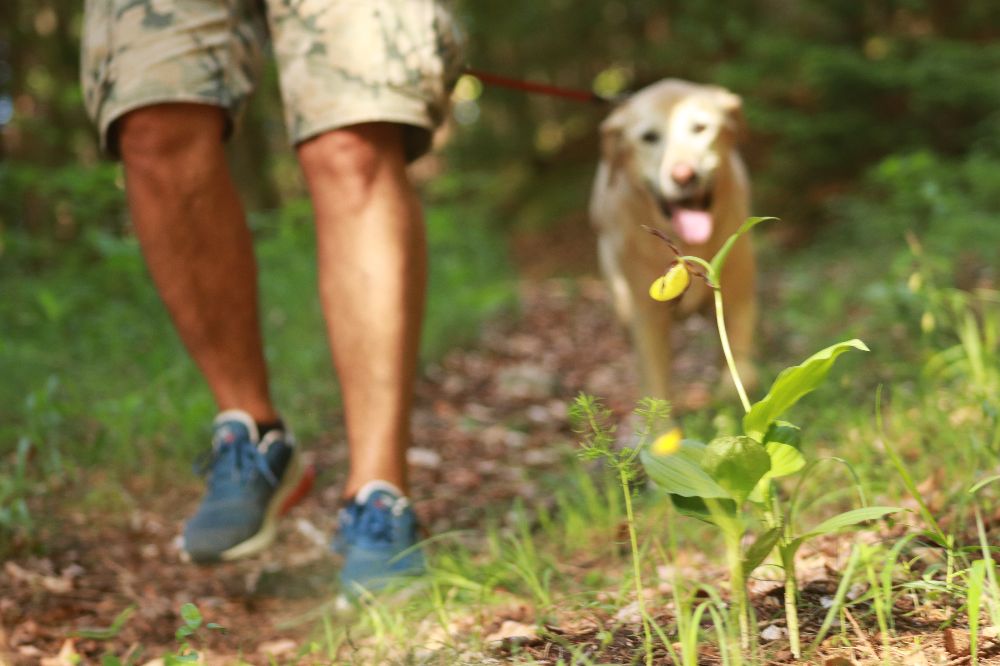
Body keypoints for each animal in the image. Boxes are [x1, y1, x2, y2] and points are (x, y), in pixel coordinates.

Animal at [584, 78, 756, 400]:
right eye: (648, 138)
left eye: (701, 128)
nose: (683, 175)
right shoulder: (647, 318)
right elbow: (656, 386)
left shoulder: (739, 296)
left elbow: (741, 368)